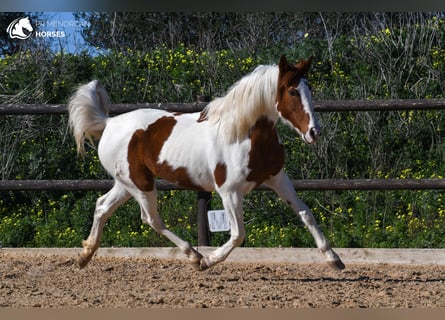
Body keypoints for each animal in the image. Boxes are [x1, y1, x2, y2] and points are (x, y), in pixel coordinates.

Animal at [67, 55, 344, 270]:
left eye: (309, 90)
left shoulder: (277, 179)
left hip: (126, 183)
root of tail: (109, 123)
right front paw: (209, 261)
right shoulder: (229, 192)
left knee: (102, 206)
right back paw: (194, 255)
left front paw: (334, 260)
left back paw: (84, 256)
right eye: (292, 91)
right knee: (151, 219)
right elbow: (238, 234)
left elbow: (306, 214)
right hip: (140, 184)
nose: (314, 132)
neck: (241, 135)